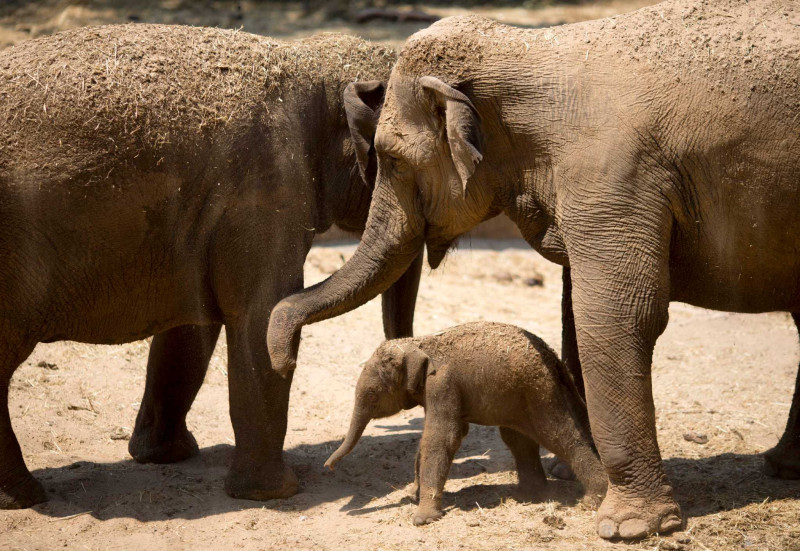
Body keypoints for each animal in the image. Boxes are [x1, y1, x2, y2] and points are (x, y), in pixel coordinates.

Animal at [0, 24, 425, 509]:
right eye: (402, 165)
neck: (308, 61)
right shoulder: (265, 189)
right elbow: (259, 316)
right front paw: (273, 494)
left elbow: (190, 326)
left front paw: (166, 456)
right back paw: (26, 496)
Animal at [324, 322, 607, 525]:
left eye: (372, 395)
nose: (328, 467)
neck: (420, 342)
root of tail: (553, 357)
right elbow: (441, 436)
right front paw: (415, 496)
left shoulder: (442, 385)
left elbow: (442, 438)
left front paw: (422, 519)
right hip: (519, 396)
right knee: (518, 439)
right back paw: (529, 496)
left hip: (539, 392)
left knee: (559, 436)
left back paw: (592, 500)